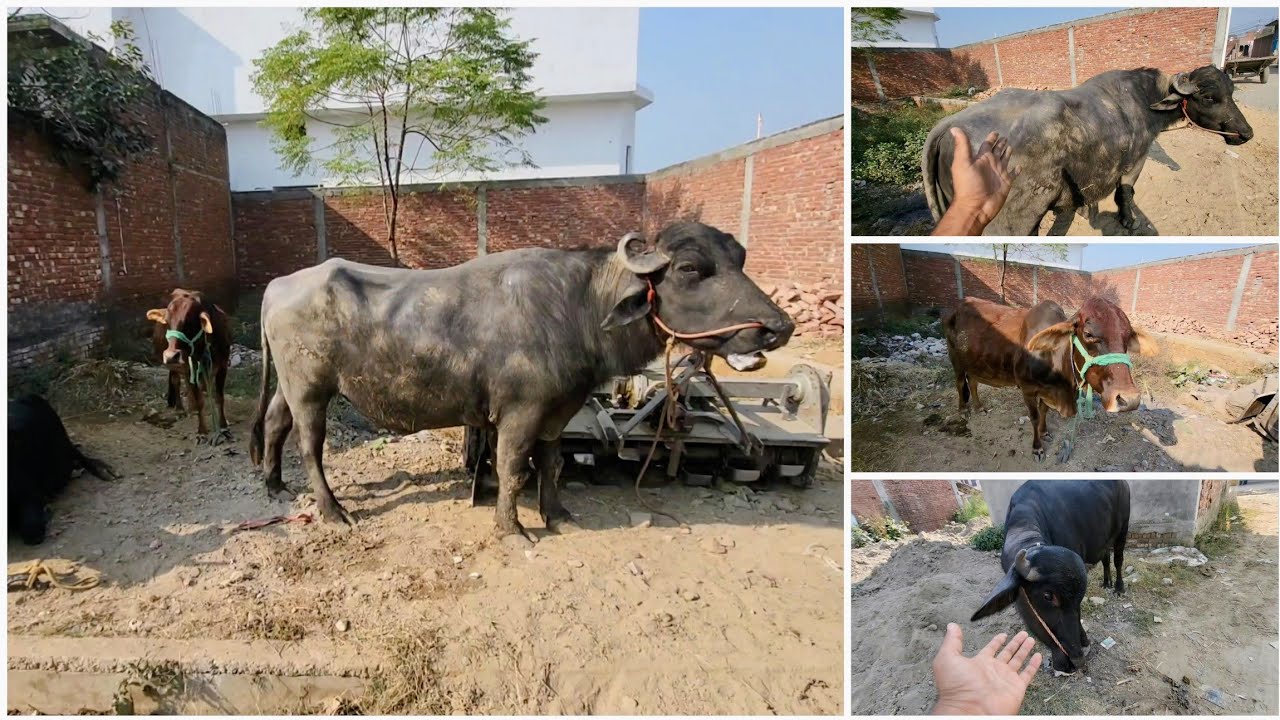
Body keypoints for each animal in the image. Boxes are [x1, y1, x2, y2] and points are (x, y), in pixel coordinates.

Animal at [147, 289, 233, 444]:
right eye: (167, 321)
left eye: (188, 321)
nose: (171, 355)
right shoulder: (191, 366)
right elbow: (200, 401)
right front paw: (202, 432)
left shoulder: (222, 366)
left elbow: (219, 397)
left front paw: (223, 428)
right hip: (177, 367)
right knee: (176, 381)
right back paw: (181, 408)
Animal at [249, 222, 794, 544]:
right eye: (689, 268)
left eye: (740, 261)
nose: (778, 326)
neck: (577, 307)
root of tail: (278, 285)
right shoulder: (518, 413)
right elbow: (512, 469)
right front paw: (511, 528)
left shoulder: (558, 411)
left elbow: (551, 465)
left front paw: (558, 514)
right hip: (311, 390)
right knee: (310, 446)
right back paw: (332, 509)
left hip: (290, 387)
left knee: (275, 423)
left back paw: (273, 482)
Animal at [924, 66, 1254, 235]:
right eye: (1209, 97)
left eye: (1231, 92)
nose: (1245, 133)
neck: (1144, 100)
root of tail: (948, 125)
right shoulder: (1135, 161)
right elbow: (1125, 193)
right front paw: (1129, 220)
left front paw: (1086, 209)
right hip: (1011, 219)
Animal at [942, 296, 1157, 462]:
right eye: (1088, 334)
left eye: (1128, 336)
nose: (1129, 399)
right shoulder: (1027, 389)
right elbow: (1035, 416)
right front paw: (1037, 448)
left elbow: (1044, 411)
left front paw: (1045, 432)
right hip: (955, 360)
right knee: (960, 383)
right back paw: (964, 410)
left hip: (974, 362)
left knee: (973, 382)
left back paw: (979, 407)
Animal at [972, 480, 1131, 674]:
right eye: (1047, 596)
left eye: (1078, 599)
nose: (1077, 659)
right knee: (1106, 558)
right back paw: (1106, 582)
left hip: (1123, 528)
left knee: (1118, 559)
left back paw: (1118, 587)